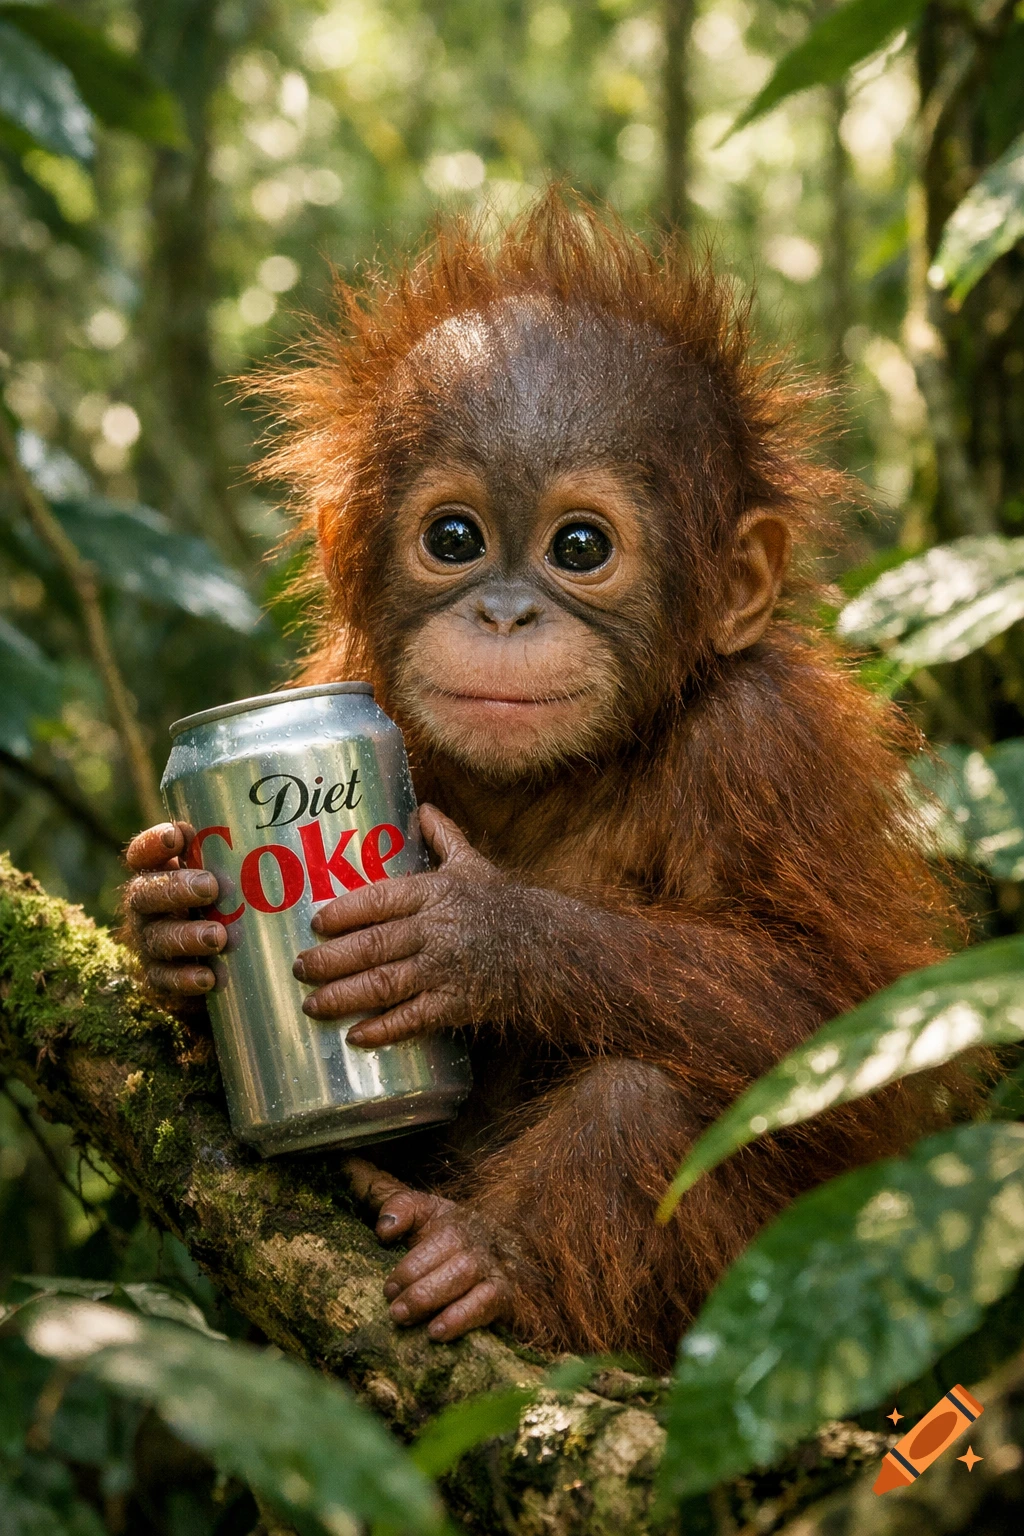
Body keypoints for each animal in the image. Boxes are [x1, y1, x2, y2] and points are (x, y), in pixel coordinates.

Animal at [123, 194, 966, 1373]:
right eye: (453, 537)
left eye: (578, 547)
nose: (506, 613)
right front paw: (166, 916)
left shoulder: (765, 746)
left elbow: (842, 1013)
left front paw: (478, 938)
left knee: (646, 1092)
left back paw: (485, 1256)